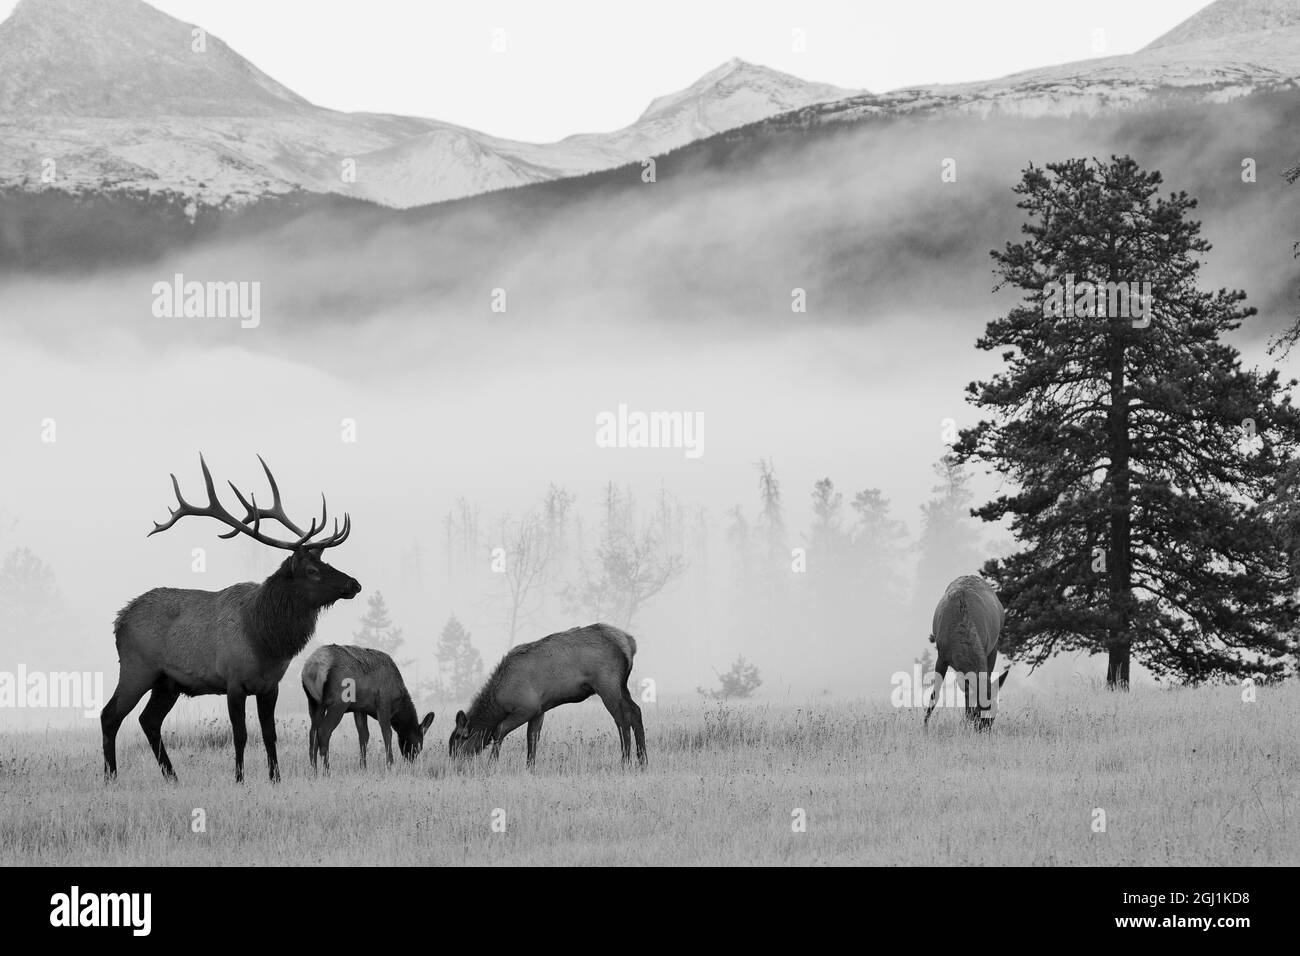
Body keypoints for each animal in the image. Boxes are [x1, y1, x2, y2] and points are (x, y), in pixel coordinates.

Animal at [102, 455, 361, 783]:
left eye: (326, 562)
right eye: (312, 570)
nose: (354, 584)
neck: (264, 640)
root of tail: (118, 621)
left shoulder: (269, 686)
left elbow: (269, 734)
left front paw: (275, 778)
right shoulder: (233, 682)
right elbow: (241, 735)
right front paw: (239, 779)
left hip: (167, 682)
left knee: (148, 720)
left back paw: (172, 777)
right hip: (137, 669)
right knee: (110, 715)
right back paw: (111, 776)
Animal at [301, 644, 434, 773]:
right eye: (418, 745)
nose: (411, 761)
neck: (398, 705)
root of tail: (312, 668)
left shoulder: (360, 709)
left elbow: (364, 735)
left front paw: (363, 768)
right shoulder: (383, 702)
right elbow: (387, 733)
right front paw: (390, 765)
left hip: (315, 703)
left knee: (313, 734)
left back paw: (314, 771)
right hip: (338, 703)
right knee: (323, 731)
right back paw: (327, 772)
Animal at [448, 623, 646, 768]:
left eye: (458, 739)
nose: (452, 762)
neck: (500, 701)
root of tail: (631, 644)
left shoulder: (526, 707)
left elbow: (499, 730)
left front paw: (492, 764)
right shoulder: (539, 710)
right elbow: (532, 738)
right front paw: (530, 767)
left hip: (607, 684)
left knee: (621, 719)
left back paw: (625, 761)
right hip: (622, 685)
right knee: (635, 711)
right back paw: (643, 760)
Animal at [924, 574, 1010, 731]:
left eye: (996, 711)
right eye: (979, 710)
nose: (984, 730)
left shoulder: (986, 648)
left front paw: (965, 721)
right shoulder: (941, 656)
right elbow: (935, 694)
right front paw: (925, 726)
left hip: (994, 647)